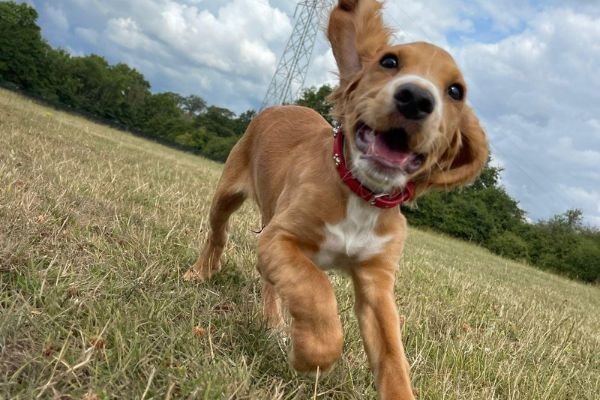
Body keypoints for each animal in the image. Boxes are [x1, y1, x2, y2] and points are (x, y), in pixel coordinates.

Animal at [185, 1, 490, 398]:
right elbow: (316, 288)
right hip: (227, 194)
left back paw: (273, 321)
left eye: (455, 90)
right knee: (218, 234)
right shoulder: (280, 238)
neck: (361, 195)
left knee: (267, 280)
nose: (416, 99)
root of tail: (282, 105)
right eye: (389, 61)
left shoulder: (377, 282)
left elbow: (393, 357)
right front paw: (310, 354)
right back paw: (200, 273)